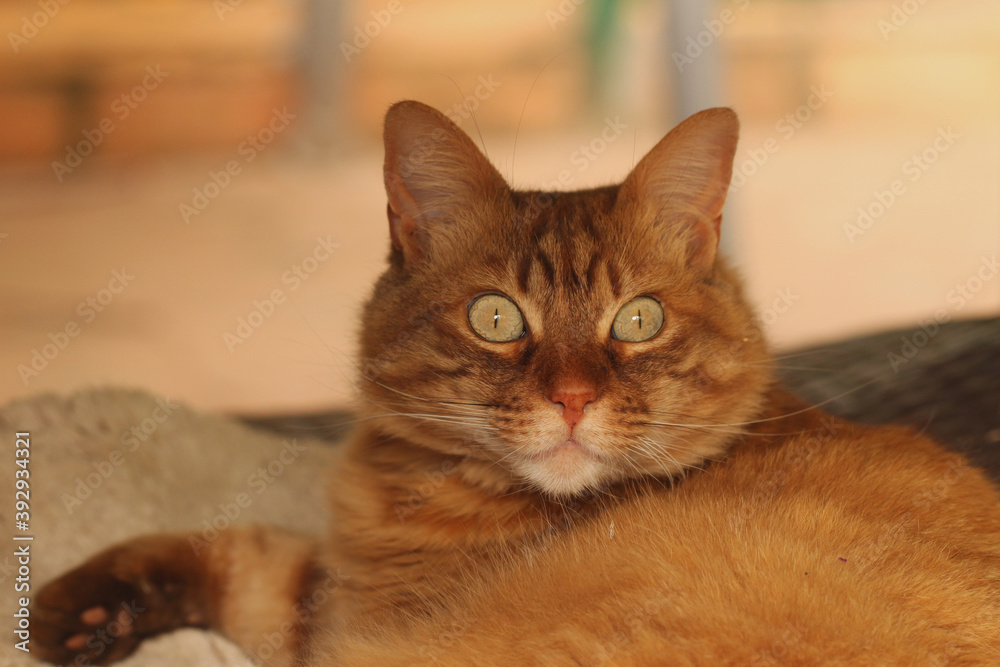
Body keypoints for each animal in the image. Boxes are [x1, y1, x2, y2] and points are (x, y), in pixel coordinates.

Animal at [33, 102, 1000, 664]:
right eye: (497, 317)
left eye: (637, 320)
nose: (572, 398)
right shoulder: (333, 599)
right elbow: (243, 552)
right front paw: (79, 613)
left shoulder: (355, 632)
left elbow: (250, 553)